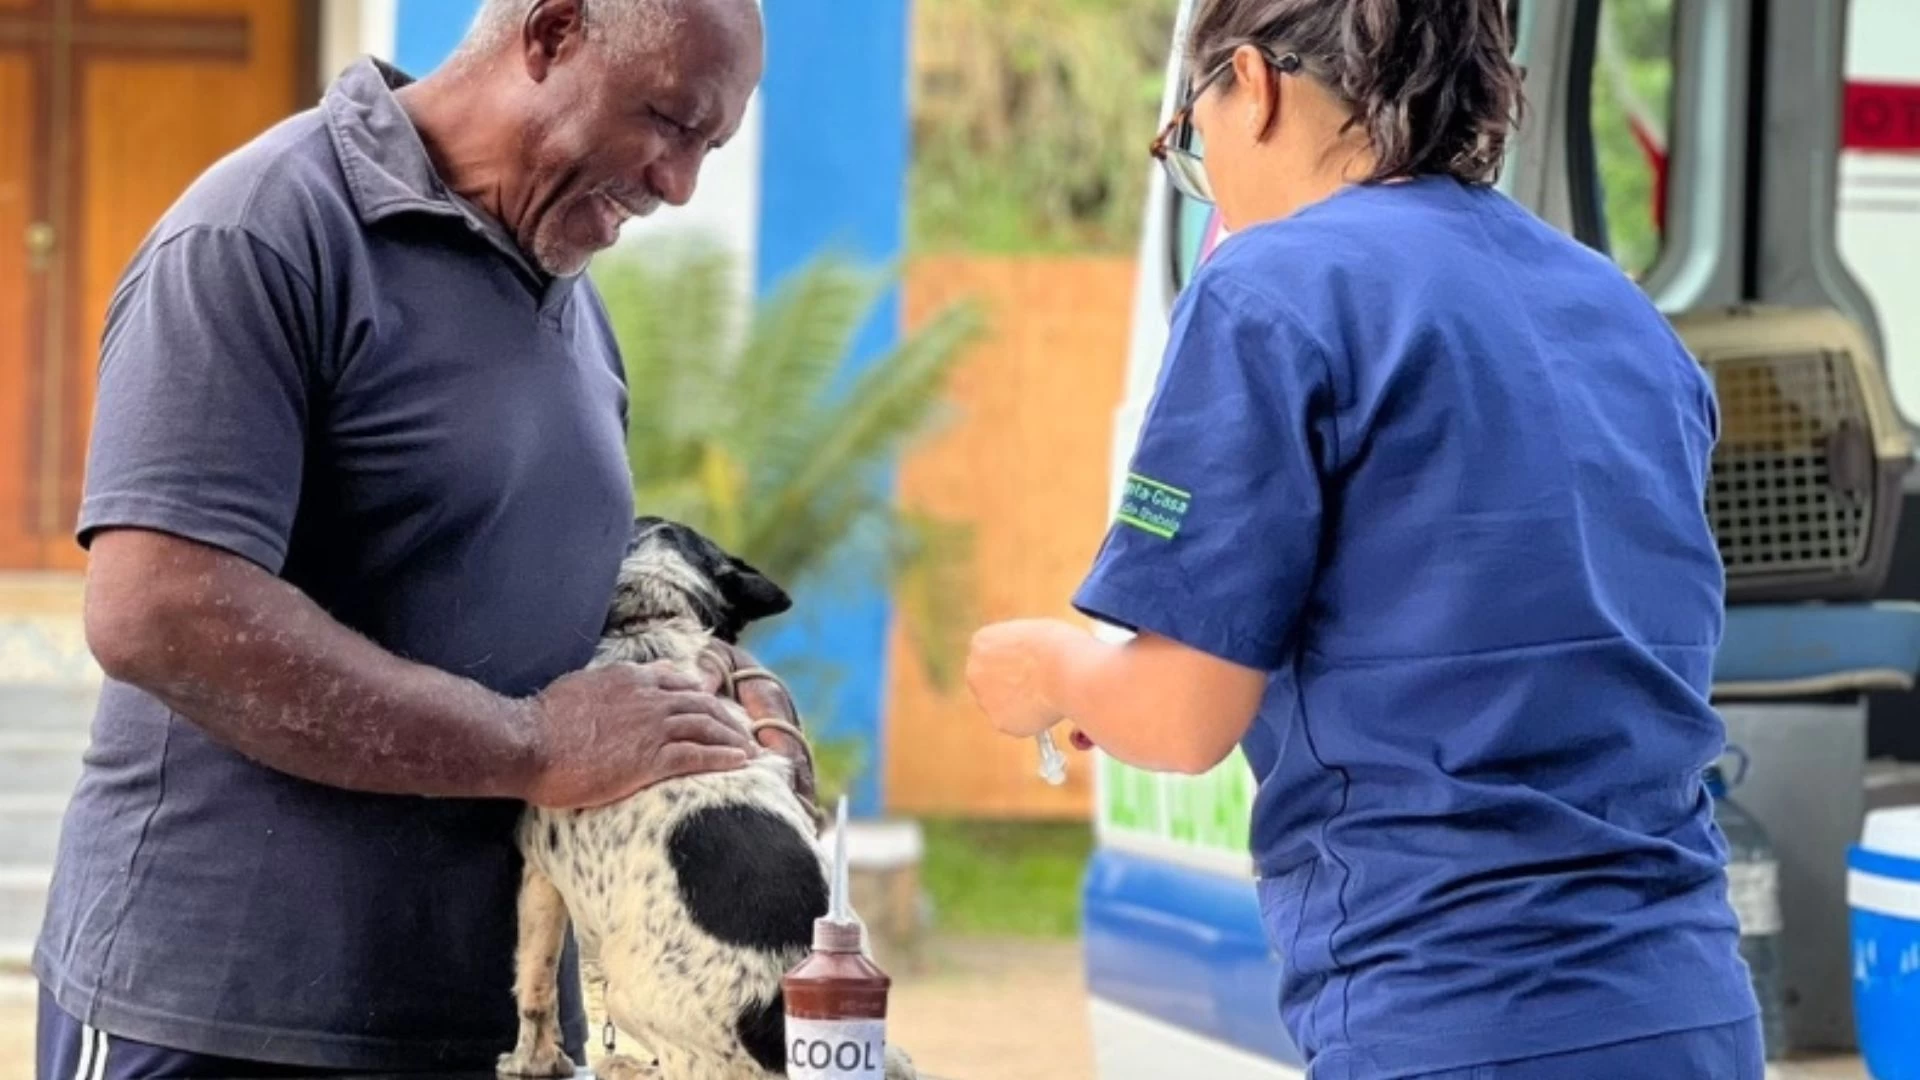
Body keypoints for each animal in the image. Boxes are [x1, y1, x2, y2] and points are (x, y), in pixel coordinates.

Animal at [496, 516, 917, 1080]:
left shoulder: (539, 874)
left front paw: (534, 1060)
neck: (646, 622)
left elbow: (534, 985)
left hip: (628, 993)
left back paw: (627, 1066)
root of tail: (778, 1021)